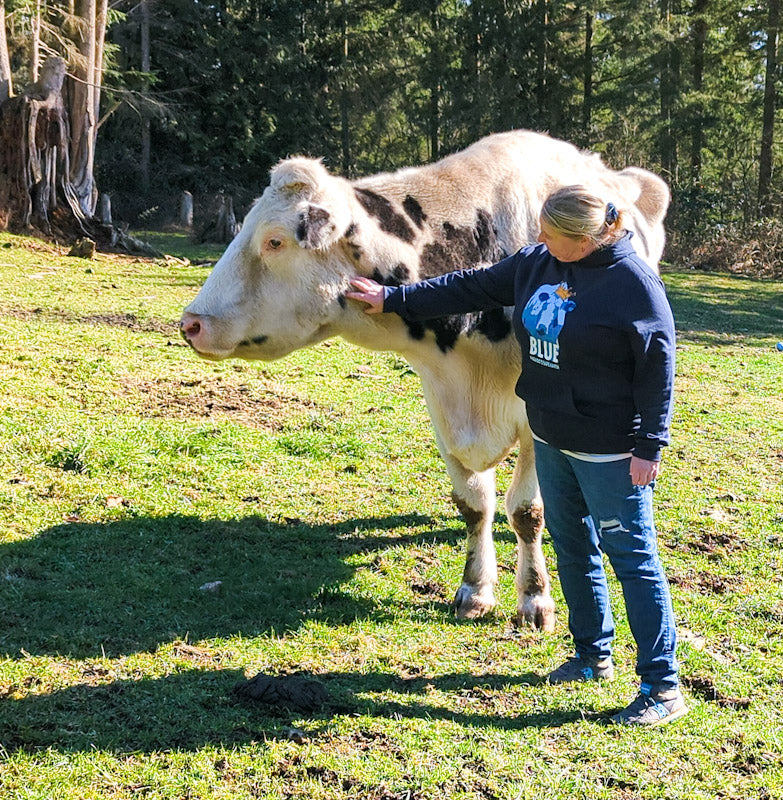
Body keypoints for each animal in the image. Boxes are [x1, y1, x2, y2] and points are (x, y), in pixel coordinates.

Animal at [181, 130, 672, 632]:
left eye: (275, 241)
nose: (191, 323)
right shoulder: (441, 406)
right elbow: (474, 504)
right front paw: (476, 588)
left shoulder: (542, 422)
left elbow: (527, 511)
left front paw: (535, 597)